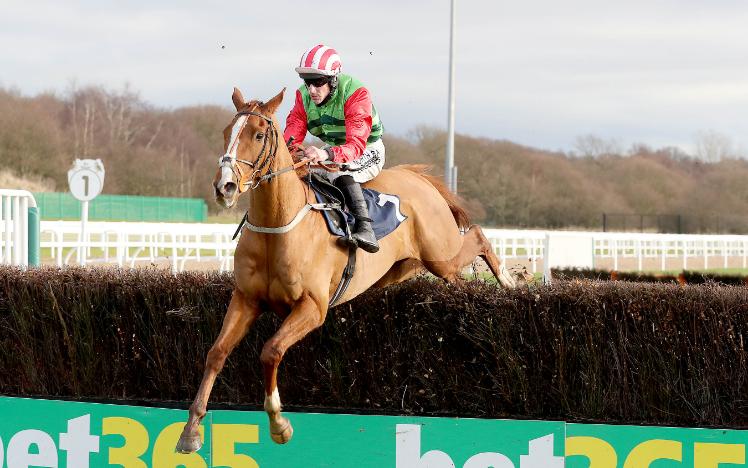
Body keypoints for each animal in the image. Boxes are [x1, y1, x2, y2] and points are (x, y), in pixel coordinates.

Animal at [175, 88, 516, 454]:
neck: (278, 226)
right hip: (405, 269)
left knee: (477, 236)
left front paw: (279, 424)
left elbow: (271, 351)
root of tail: (417, 177)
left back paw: (509, 283)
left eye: (258, 135)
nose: (224, 186)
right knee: (457, 274)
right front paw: (191, 429)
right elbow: (216, 353)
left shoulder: (313, 307)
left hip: (441, 254)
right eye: (227, 132)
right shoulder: (246, 299)